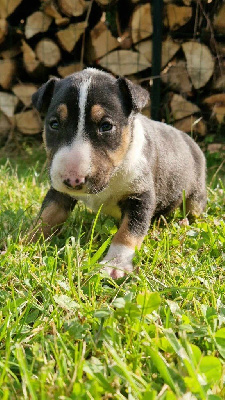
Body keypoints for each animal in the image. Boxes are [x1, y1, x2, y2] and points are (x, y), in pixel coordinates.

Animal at [30, 68, 207, 278]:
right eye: (54, 124)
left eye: (106, 126)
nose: (73, 180)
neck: (112, 176)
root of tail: (189, 139)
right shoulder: (59, 193)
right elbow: (46, 216)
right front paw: (23, 244)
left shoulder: (140, 196)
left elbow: (128, 231)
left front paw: (115, 265)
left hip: (195, 195)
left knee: (194, 211)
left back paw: (184, 223)